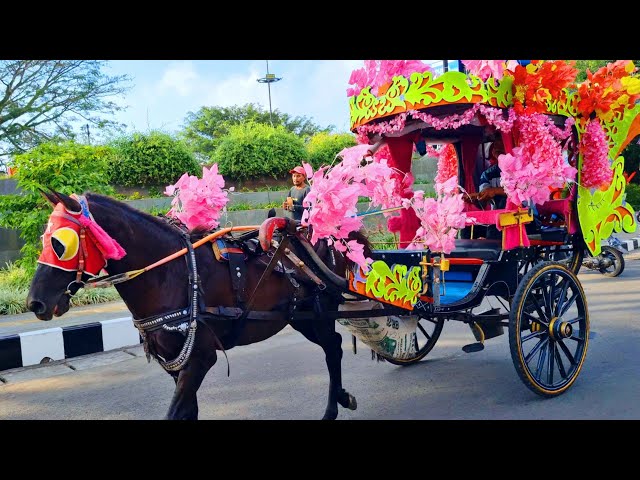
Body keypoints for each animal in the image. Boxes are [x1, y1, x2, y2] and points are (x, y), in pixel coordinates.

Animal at [26, 189, 364, 418]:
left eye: (61, 243)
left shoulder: (200, 358)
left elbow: (176, 412)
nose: (35, 303)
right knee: (333, 345)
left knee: (333, 348)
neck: (173, 273)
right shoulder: (175, 363)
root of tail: (321, 233)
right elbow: (188, 411)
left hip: (318, 313)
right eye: (44, 239)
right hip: (300, 317)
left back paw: (333, 408)